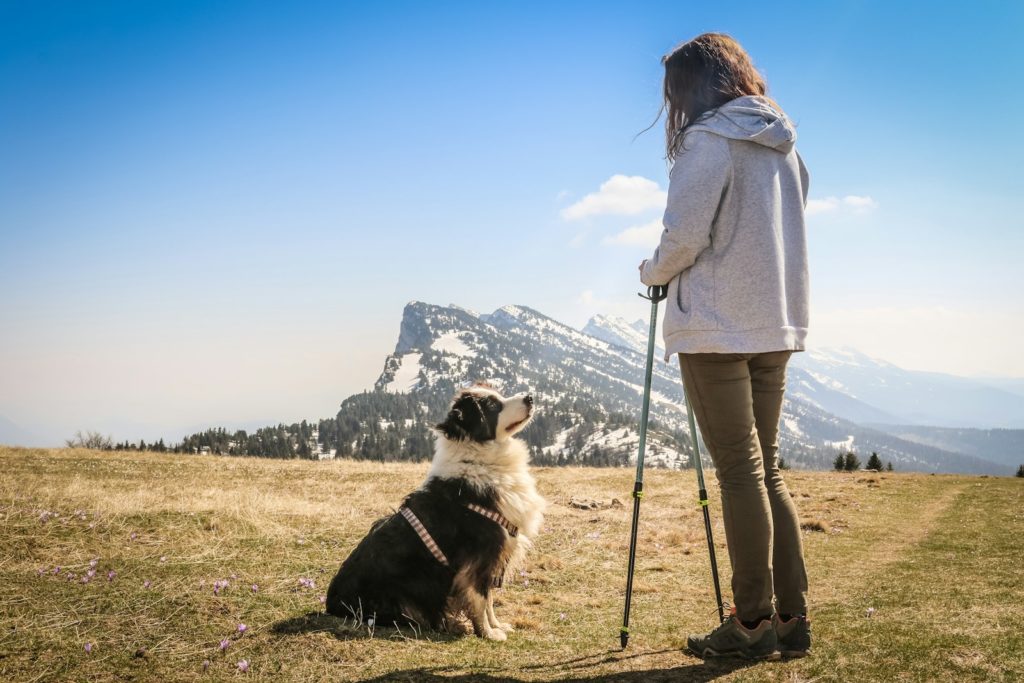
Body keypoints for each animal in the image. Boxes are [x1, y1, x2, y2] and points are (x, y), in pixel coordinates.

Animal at [327, 385, 544, 643]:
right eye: (493, 405)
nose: (530, 397)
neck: (476, 460)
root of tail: (332, 602)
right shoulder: (481, 555)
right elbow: (481, 598)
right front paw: (488, 633)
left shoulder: (493, 556)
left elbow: (489, 599)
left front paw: (497, 625)